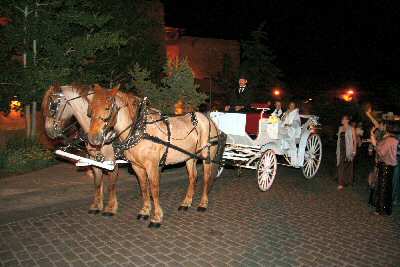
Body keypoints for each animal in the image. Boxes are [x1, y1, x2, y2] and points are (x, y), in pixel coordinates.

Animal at [41, 85, 122, 217]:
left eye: (53, 106)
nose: (48, 131)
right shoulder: (95, 159)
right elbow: (97, 183)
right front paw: (96, 206)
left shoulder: (111, 160)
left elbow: (111, 184)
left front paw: (111, 208)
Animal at [87, 85, 225, 227]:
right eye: (90, 109)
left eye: (107, 108)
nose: (93, 138)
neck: (139, 130)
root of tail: (208, 119)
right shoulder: (137, 166)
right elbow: (143, 188)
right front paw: (145, 211)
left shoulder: (152, 165)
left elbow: (154, 189)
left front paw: (157, 217)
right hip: (190, 156)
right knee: (193, 177)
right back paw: (186, 202)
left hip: (207, 155)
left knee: (207, 177)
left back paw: (203, 203)